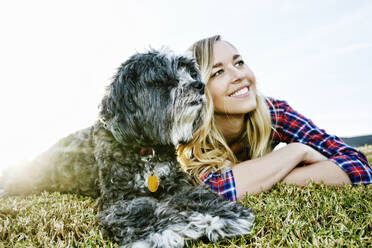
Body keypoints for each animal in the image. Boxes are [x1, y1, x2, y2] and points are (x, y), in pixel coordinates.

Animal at [0, 49, 254, 247]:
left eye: (190, 73)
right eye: (163, 78)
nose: (200, 85)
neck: (146, 148)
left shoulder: (178, 184)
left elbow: (200, 196)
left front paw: (220, 216)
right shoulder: (119, 199)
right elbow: (142, 210)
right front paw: (166, 230)